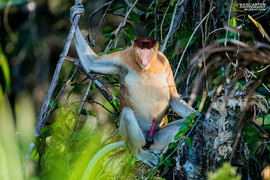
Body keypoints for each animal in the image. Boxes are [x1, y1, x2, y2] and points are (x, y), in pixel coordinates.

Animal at [70, 3, 199, 167]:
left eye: (149, 50)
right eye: (140, 49)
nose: (144, 58)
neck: (146, 68)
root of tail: (149, 140)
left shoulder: (165, 62)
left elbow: (174, 99)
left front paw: (199, 115)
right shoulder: (123, 57)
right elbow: (91, 62)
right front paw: (75, 12)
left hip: (159, 136)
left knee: (184, 124)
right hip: (140, 135)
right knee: (127, 114)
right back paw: (141, 154)